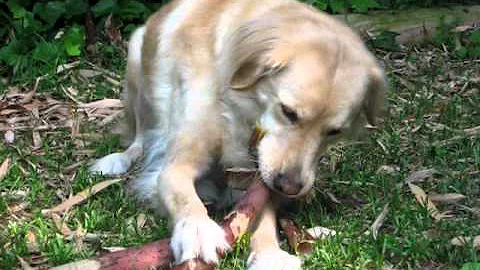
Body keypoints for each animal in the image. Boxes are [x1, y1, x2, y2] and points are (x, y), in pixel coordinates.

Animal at [89, 1, 386, 268]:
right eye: (288, 112)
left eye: (334, 132)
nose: (289, 186)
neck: (236, 110)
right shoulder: (178, 162)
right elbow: (182, 193)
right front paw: (197, 229)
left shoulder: (258, 177)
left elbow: (261, 212)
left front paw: (268, 253)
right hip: (136, 65)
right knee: (139, 137)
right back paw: (117, 160)